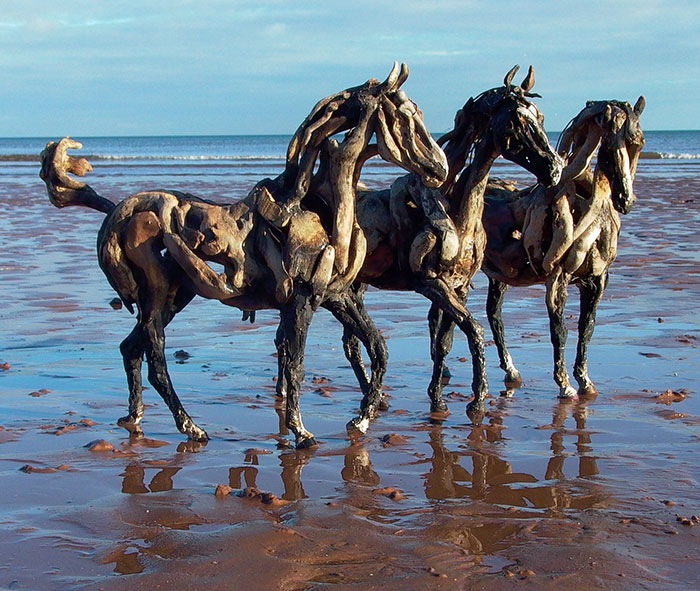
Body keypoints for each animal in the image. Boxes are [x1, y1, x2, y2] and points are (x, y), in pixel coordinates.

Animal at [40, 63, 448, 448]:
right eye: (404, 116)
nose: (439, 169)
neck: (321, 211)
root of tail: (118, 211)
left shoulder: (336, 297)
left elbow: (379, 349)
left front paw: (360, 419)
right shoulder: (301, 302)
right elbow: (296, 365)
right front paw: (302, 432)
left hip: (174, 295)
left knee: (130, 349)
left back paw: (136, 418)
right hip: (158, 295)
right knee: (154, 357)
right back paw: (191, 428)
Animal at [480, 97, 645, 398]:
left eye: (638, 143)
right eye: (607, 149)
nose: (625, 200)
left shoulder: (596, 280)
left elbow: (587, 328)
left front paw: (585, 382)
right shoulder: (558, 278)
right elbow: (560, 331)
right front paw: (565, 385)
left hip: (498, 277)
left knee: (494, 315)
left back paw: (511, 371)